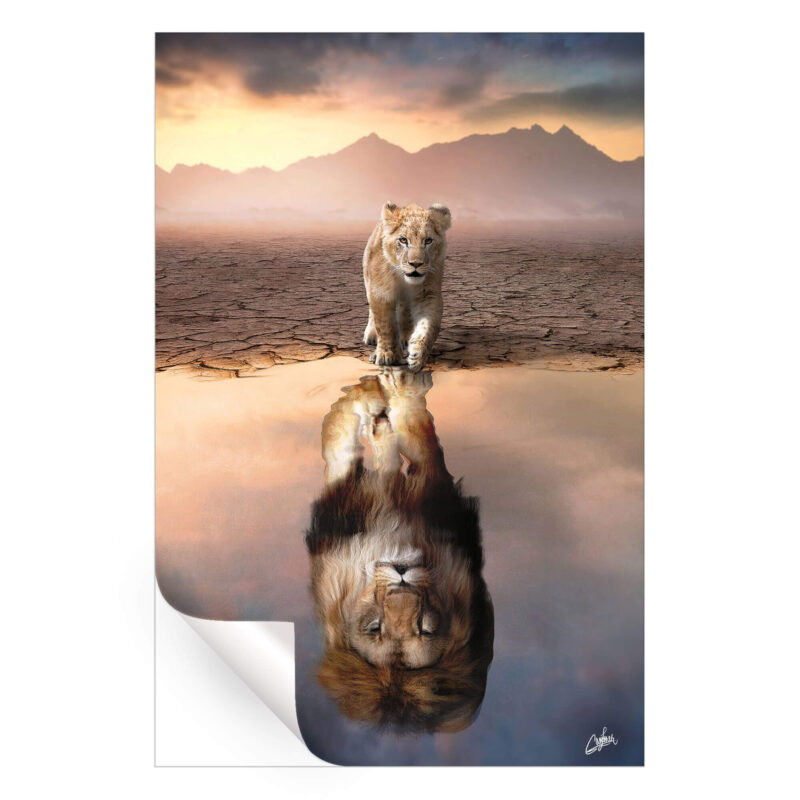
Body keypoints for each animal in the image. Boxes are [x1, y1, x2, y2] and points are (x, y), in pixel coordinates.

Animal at [305, 369, 493, 733]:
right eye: (375, 627)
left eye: (425, 628)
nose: (401, 575)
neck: (395, 535)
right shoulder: (342, 506)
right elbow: (337, 440)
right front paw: (363, 398)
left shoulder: (437, 493)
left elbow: (416, 429)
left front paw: (402, 392)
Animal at [362, 202, 451, 372]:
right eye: (403, 240)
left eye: (428, 241)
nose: (415, 264)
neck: (402, 278)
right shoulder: (380, 292)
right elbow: (385, 325)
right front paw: (386, 355)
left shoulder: (428, 294)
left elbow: (428, 326)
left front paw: (417, 355)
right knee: (372, 311)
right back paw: (371, 334)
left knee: (405, 311)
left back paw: (405, 337)